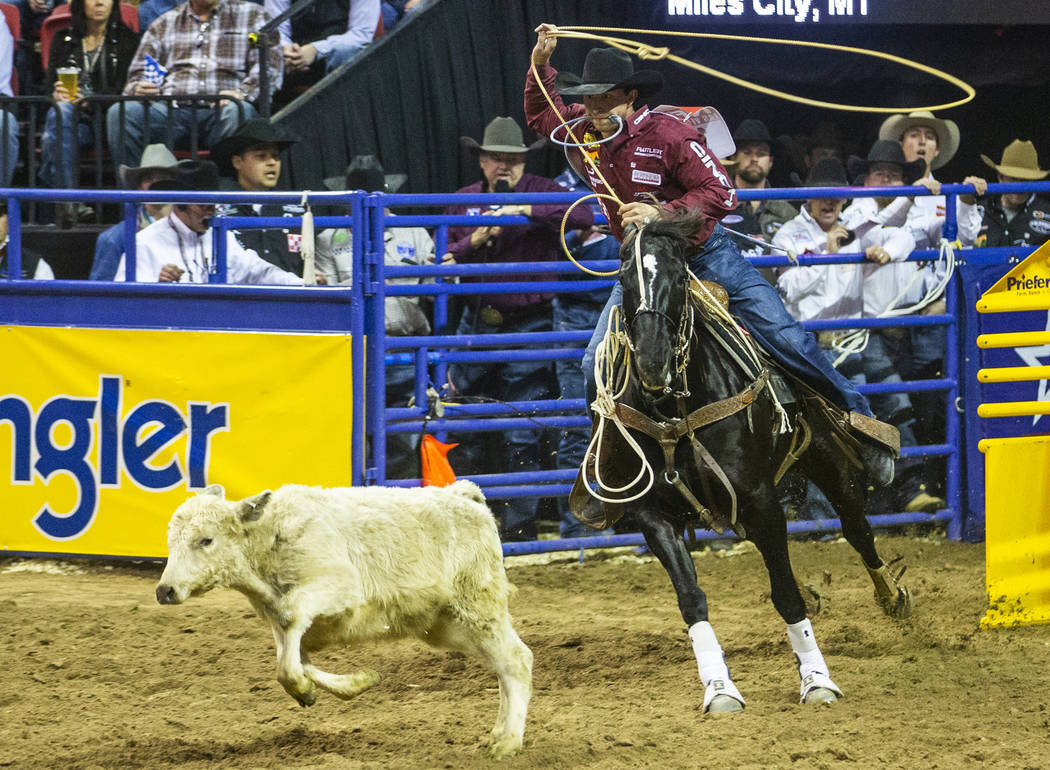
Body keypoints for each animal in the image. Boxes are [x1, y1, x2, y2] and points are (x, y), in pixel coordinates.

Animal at [575, 213, 911, 710]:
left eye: (680, 278)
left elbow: (786, 595)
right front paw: (719, 687)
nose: (653, 364)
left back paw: (893, 595)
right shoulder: (654, 515)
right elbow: (691, 599)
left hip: (827, 460)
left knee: (857, 528)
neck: (677, 408)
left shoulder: (761, 501)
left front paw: (816, 680)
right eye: (623, 279)